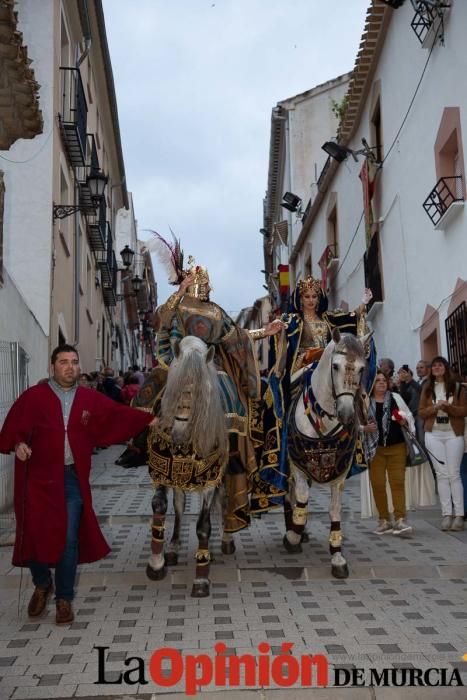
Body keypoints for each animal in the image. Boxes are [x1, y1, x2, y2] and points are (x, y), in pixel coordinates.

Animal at [284, 328, 372, 580]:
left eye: (361, 368)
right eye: (335, 366)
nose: (347, 414)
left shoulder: (339, 472)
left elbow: (334, 510)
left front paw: (337, 556)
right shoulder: (297, 464)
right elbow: (302, 498)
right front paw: (292, 536)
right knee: (291, 495)